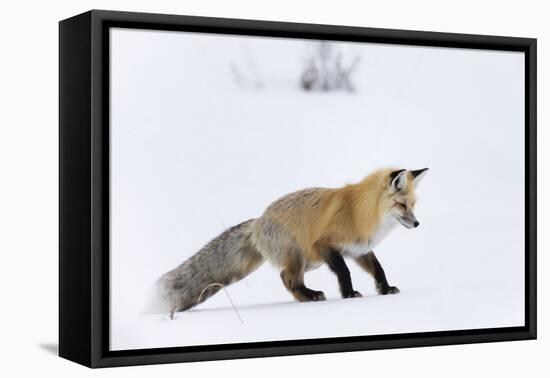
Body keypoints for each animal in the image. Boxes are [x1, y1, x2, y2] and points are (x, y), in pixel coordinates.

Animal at [157, 168, 430, 316]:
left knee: (285, 278)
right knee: (290, 279)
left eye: (413, 204)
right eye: (401, 205)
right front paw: (349, 294)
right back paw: (310, 295)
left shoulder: (359, 249)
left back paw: (304, 297)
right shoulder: (326, 245)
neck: (361, 211)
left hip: (311, 262)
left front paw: (385, 289)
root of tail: (258, 222)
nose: (417, 223)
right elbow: (344, 272)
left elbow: (378, 269)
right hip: (302, 255)